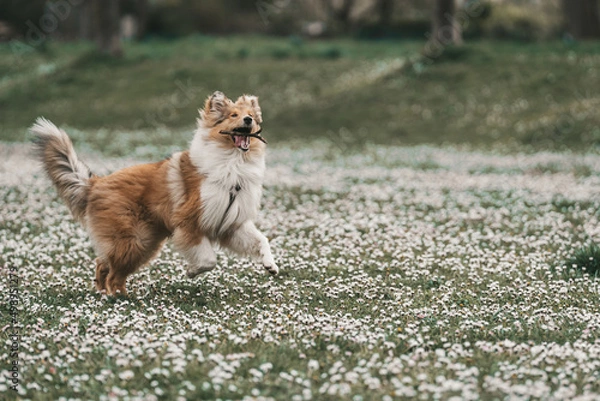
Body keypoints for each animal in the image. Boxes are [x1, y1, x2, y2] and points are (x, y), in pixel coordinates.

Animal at [35, 92, 282, 296]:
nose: (249, 120)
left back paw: (108, 294)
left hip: (143, 242)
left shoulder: (231, 224)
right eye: (233, 115)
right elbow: (209, 259)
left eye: (251, 116)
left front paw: (270, 265)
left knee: (104, 264)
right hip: (132, 241)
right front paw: (192, 271)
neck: (233, 163)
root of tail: (95, 183)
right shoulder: (190, 223)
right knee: (113, 272)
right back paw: (120, 299)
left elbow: (262, 240)